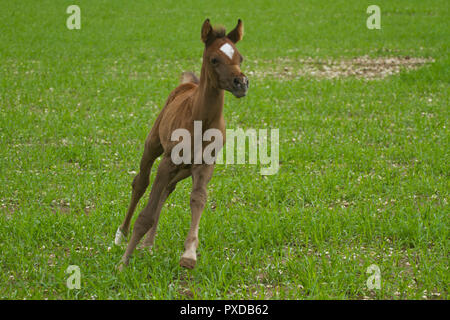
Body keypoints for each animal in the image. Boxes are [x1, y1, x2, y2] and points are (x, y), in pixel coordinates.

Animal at [116, 19, 250, 270]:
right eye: (214, 59)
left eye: (240, 57)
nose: (242, 83)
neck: (201, 120)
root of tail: (188, 84)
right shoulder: (167, 161)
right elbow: (146, 212)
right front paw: (123, 263)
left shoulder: (205, 165)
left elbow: (198, 199)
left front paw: (189, 254)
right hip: (154, 146)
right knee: (141, 183)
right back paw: (122, 234)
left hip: (185, 168)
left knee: (167, 190)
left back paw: (148, 244)